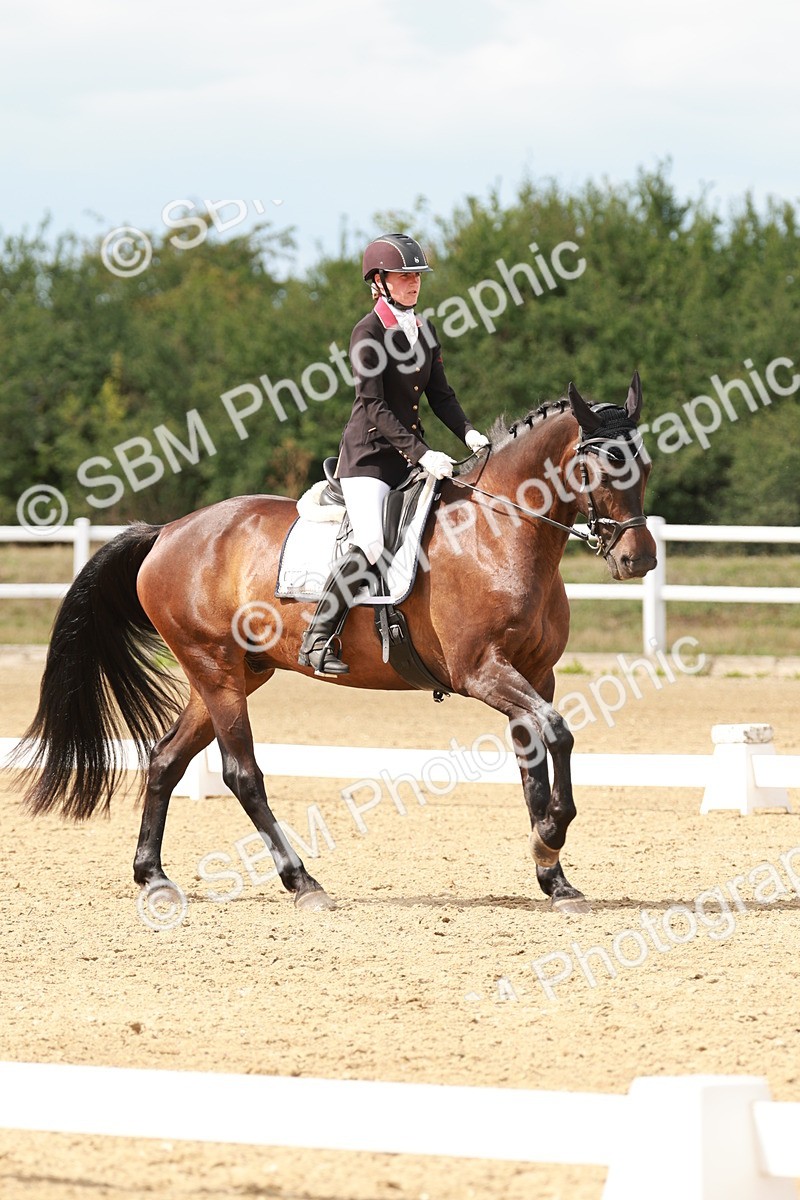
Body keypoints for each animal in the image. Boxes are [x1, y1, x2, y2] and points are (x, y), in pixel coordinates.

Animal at [15, 374, 656, 916]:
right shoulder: (483, 673)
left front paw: (554, 876)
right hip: (213, 668)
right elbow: (558, 733)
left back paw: (153, 876)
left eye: (644, 466)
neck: (503, 532)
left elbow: (535, 763)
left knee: (166, 758)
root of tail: (169, 530)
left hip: (235, 672)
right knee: (241, 773)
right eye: (604, 468)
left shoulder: (536, 674)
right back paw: (303, 882)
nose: (639, 560)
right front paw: (550, 834)